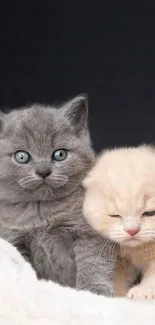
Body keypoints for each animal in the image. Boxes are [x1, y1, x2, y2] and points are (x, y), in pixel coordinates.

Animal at [0, 95, 115, 294]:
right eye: (21, 156)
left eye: (60, 154)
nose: (43, 171)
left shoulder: (90, 233)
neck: (41, 212)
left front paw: (94, 290)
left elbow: (93, 262)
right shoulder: (15, 240)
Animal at [83, 145, 155, 298]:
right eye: (115, 215)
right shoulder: (116, 260)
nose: (132, 230)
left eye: (149, 213)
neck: (136, 250)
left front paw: (143, 292)